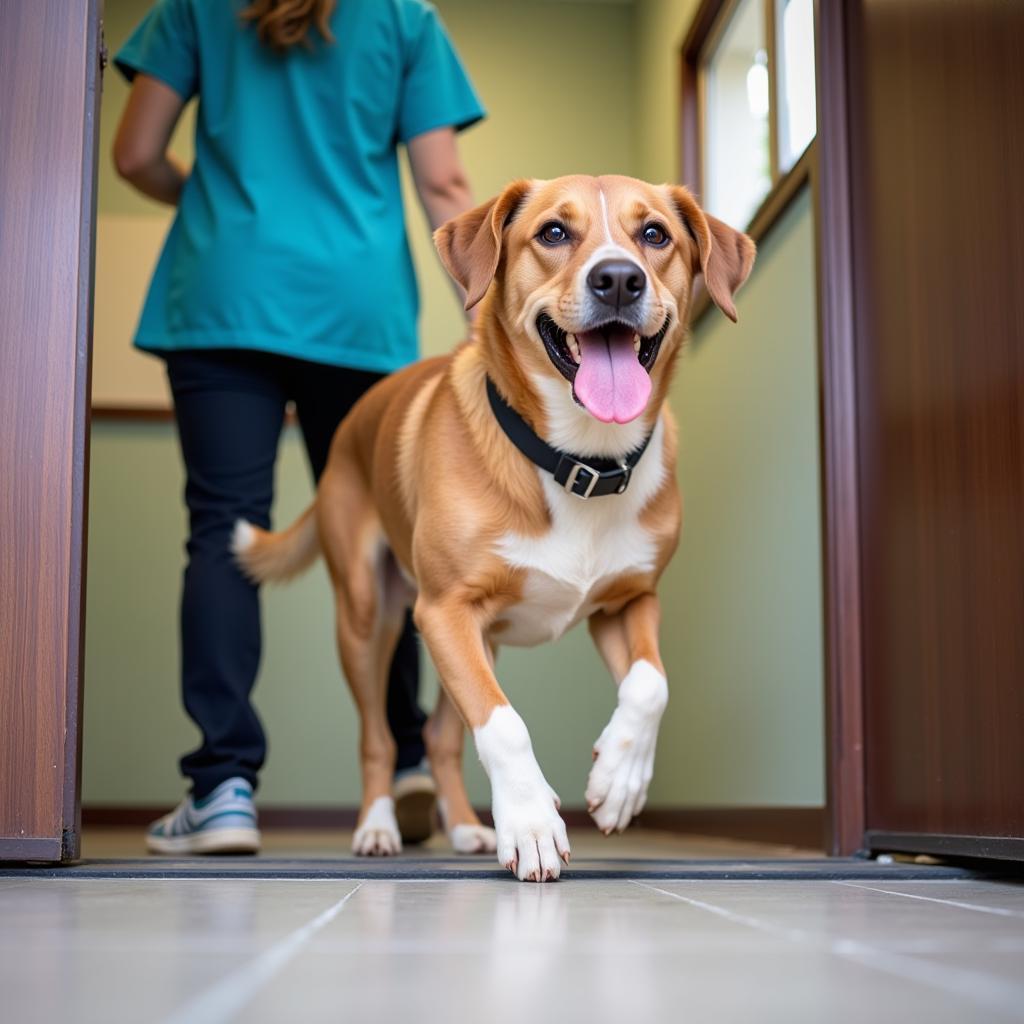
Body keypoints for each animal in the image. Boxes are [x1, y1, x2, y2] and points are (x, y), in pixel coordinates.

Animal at [235, 176, 757, 880]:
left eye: (654, 234)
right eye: (554, 233)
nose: (619, 280)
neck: (578, 461)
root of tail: (352, 421)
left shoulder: (628, 602)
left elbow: (651, 685)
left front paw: (620, 782)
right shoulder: (445, 610)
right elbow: (504, 725)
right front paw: (532, 824)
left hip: (482, 639)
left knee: (438, 735)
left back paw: (463, 828)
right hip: (371, 618)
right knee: (379, 737)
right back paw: (377, 828)